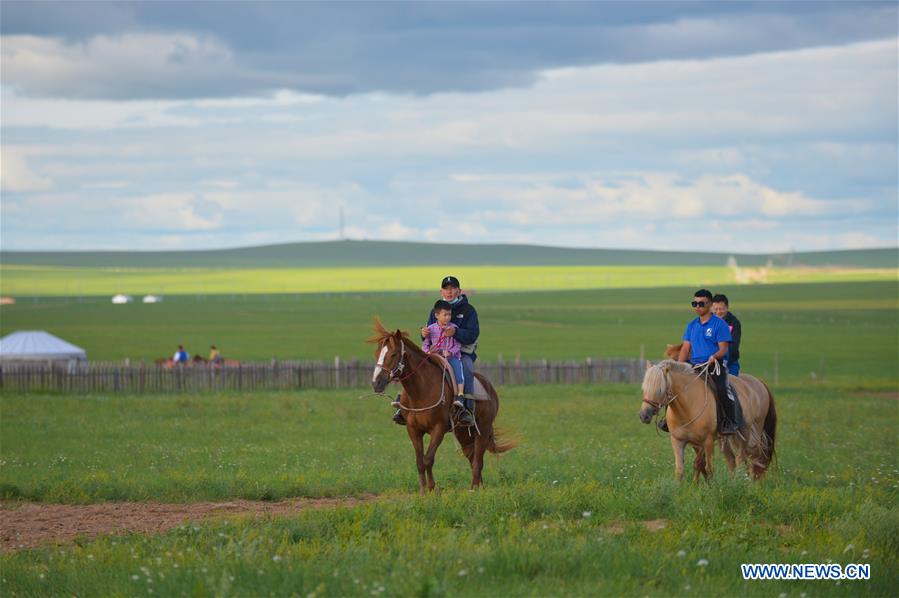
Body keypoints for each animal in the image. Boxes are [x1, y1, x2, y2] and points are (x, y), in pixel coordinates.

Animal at [370, 318, 516, 492]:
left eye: (393, 354)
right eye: (377, 354)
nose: (376, 383)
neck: (422, 391)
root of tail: (489, 387)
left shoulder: (438, 429)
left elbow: (428, 459)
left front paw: (433, 489)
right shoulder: (413, 430)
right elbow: (419, 462)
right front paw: (423, 491)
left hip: (483, 429)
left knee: (478, 461)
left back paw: (474, 489)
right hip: (463, 432)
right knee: (472, 457)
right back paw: (479, 486)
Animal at [636, 360, 776, 482]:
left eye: (660, 390)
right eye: (644, 388)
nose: (644, 416)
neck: (688, 405)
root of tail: (759, 382)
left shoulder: (707, 441)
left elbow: (705, 466)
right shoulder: (678, 441)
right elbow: (680, 470)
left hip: (749, 433)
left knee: (748, 457)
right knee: (733, 461)